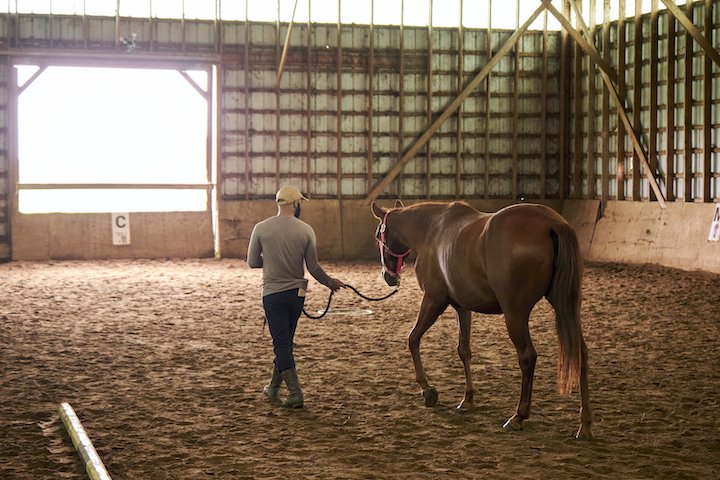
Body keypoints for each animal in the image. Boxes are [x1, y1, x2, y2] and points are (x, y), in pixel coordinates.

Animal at [372, 199, 592, 438]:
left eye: (378, 236)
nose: (388, 277)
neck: (431, 231)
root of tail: (553, 223)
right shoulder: (462, 307)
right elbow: (464, 351)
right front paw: (468, 398)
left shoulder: (433, 300)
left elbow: (413, 339)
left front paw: (427, 390)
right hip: (567, 306)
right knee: (580, 353)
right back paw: (585, 425)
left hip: (515, 314)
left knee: (527, 357)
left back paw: (518, 416)